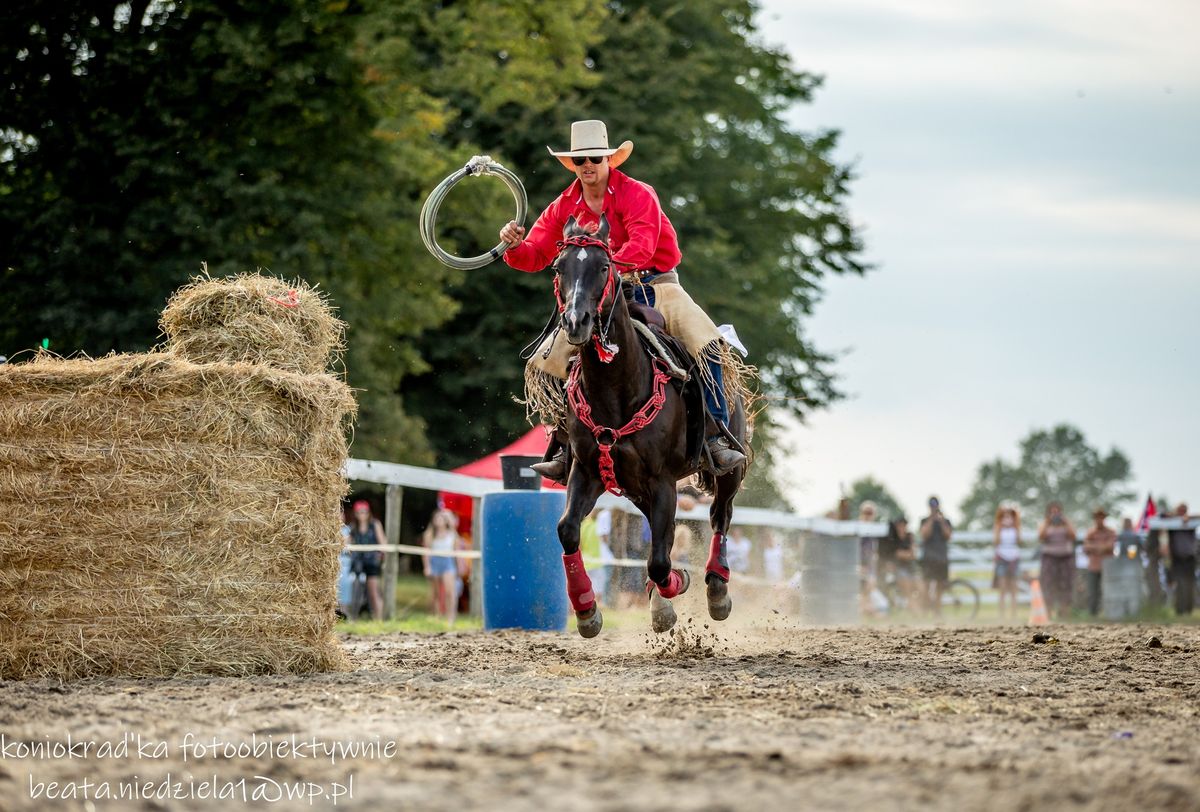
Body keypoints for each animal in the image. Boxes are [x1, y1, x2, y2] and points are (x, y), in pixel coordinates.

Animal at [552, 215, 748, 638]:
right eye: (559, 268)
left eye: (604, 267)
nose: (576, 321)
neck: (616, 389)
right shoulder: (587, 471)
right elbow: (568, 530)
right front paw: (587, 611)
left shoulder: (662, 480)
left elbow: (660, 561)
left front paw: (680, 583)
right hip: (635, 486)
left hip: (730, 470)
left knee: (719, 516)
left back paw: (716, 590)